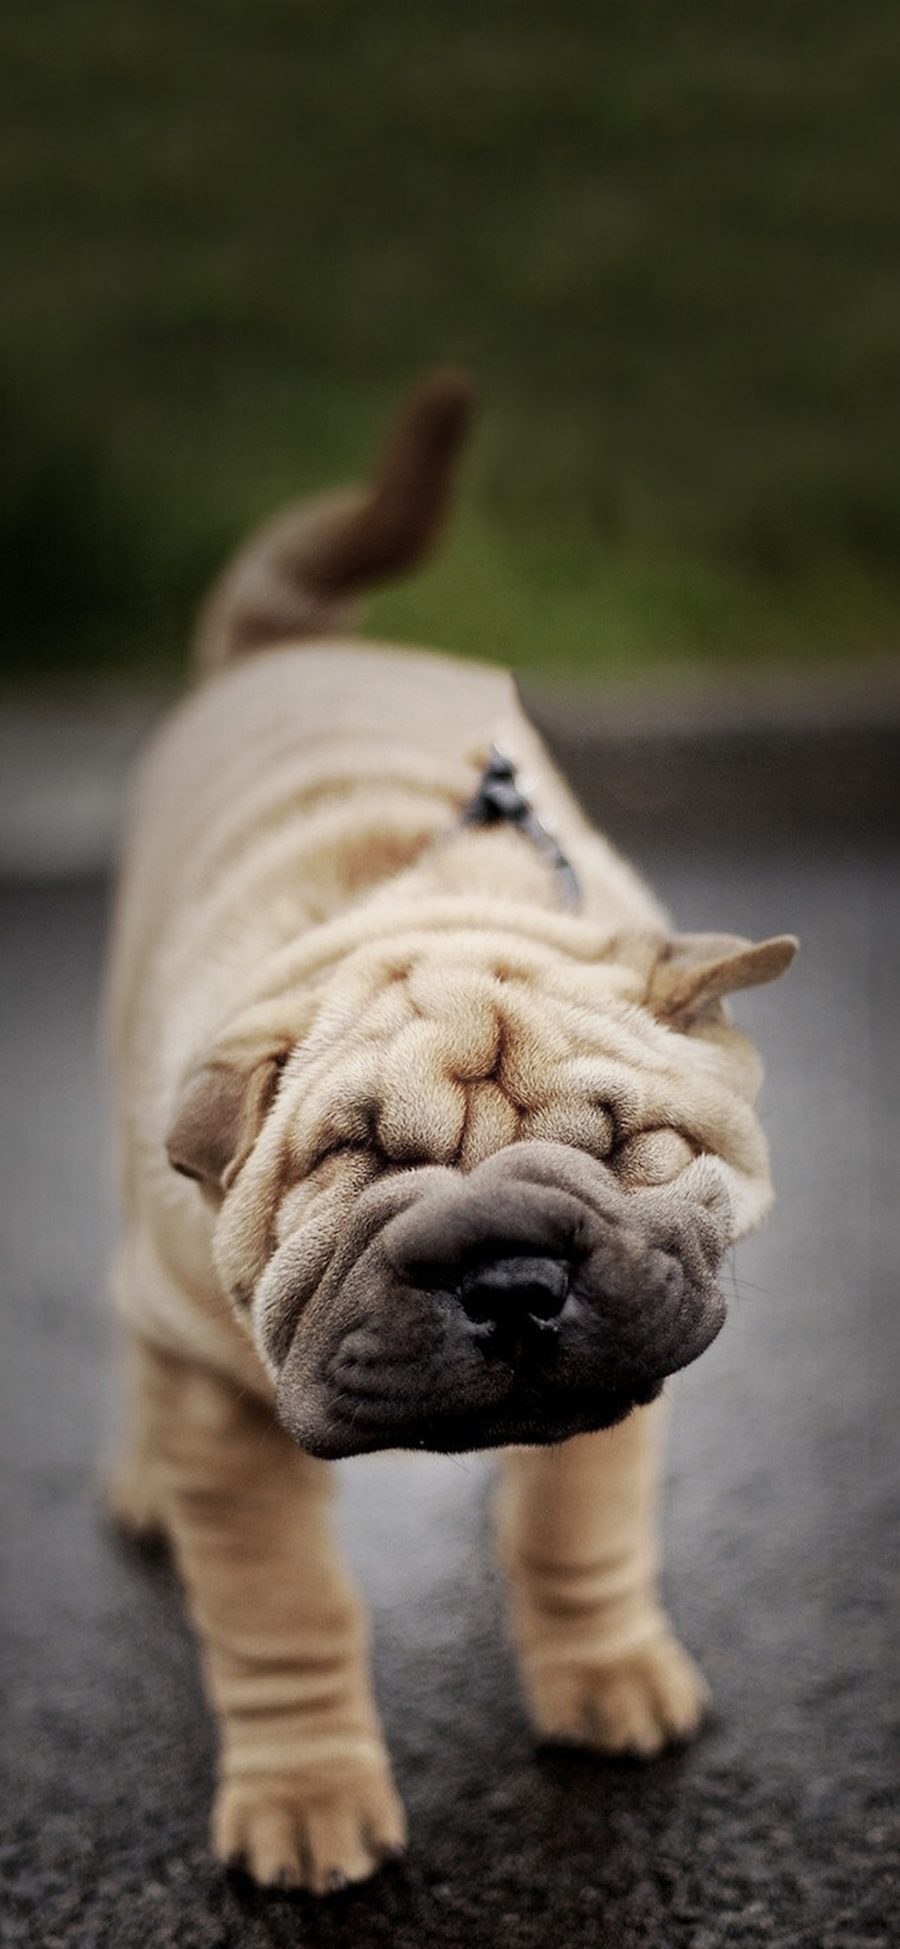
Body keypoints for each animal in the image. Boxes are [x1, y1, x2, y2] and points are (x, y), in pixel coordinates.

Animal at [103, 366, 794, 1886]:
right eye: (352, 1170)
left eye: (619, 1145)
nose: (512, 1277)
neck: (426, 908)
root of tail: (289, 644)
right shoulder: (225, 1408)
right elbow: (283, 1610)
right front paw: (306, 1800)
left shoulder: (634, 1334)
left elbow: (580, 1532)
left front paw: (609, 1676)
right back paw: (143, 1488)